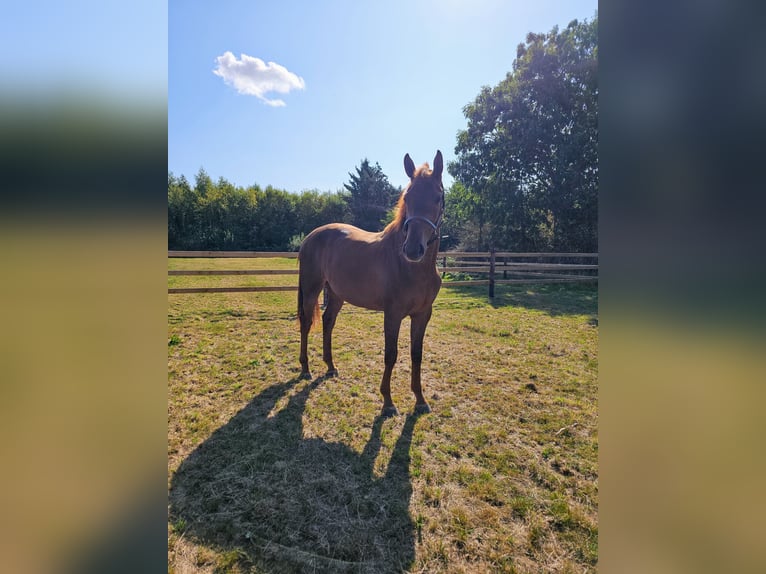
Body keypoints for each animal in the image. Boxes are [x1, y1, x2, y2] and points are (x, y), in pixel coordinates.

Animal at [297, 150, 444, 416]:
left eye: (438, 197)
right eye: (408, 197)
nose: (412, 249)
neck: (413, 268)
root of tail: (311, 237)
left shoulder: (423, 314)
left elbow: (416, 354)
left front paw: (420, 400)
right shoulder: (392, 314)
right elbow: (391, 354)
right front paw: (388, 402)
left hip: (336, 294)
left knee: (327, 321)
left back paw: (330, 367)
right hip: (312, 289)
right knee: (305, 323)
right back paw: (305, 369)